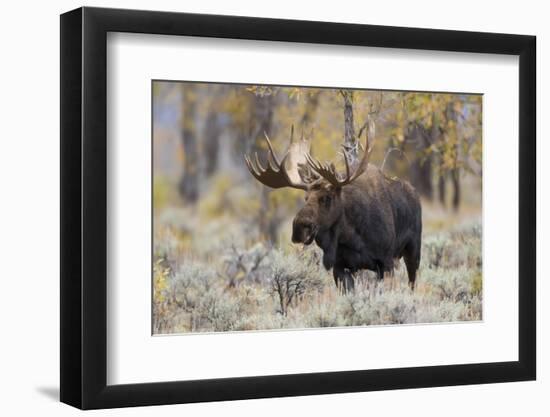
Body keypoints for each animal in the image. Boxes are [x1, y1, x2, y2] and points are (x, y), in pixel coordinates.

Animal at [246, 127, 422, 292]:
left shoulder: (385, 262)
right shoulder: (340, 267)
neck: (352, 236)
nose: (299, 228)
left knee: (412, 283)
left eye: (327, 197)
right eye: (305, 198)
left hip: (413, 251)